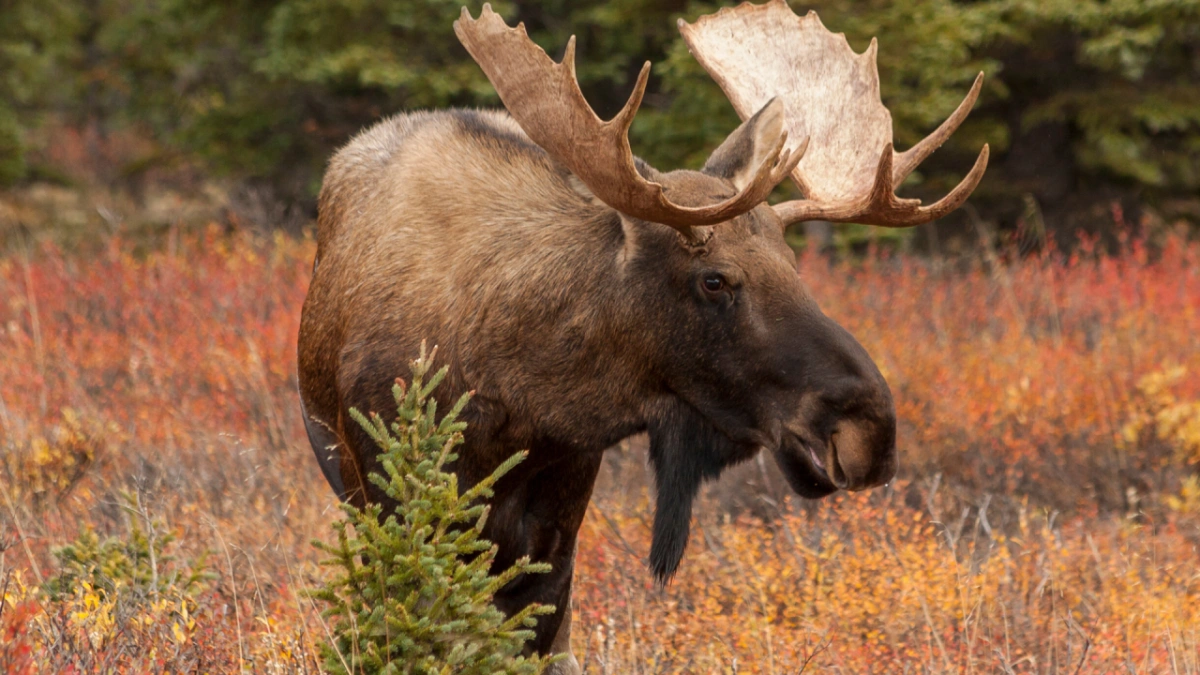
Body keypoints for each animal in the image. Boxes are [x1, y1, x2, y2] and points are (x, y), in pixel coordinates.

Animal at [297, 1, 989, 671]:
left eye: (795, 265)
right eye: (714, 280)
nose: (872, 428)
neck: (515, 394)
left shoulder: (562, 507)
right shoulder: (397, 496)